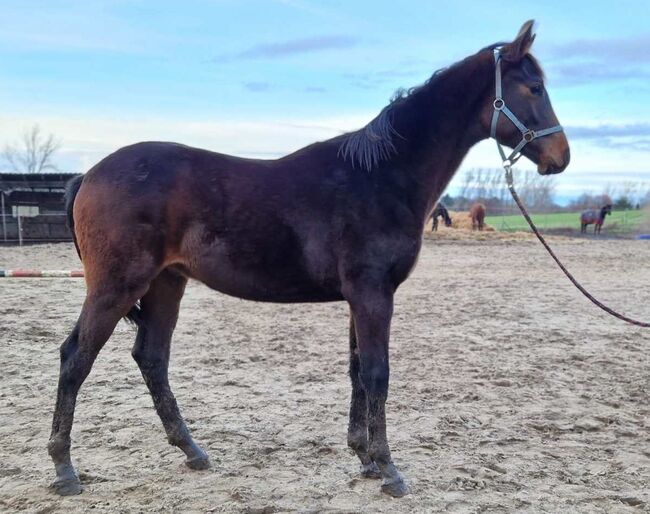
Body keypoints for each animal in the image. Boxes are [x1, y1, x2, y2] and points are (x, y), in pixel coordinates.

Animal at [48, 21, 568, 496]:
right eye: (534, 87)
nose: (560, 157)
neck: (381, 175)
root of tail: (89, 175)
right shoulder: (372, 293)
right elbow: (377, 373)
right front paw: (390, 470)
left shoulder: (361, 297)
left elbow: (358, 371)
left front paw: (365, 458)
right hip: (117, 285)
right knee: (76, 358)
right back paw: (64, 470)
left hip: (166, 283)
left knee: (152, 357)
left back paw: (192, 451)